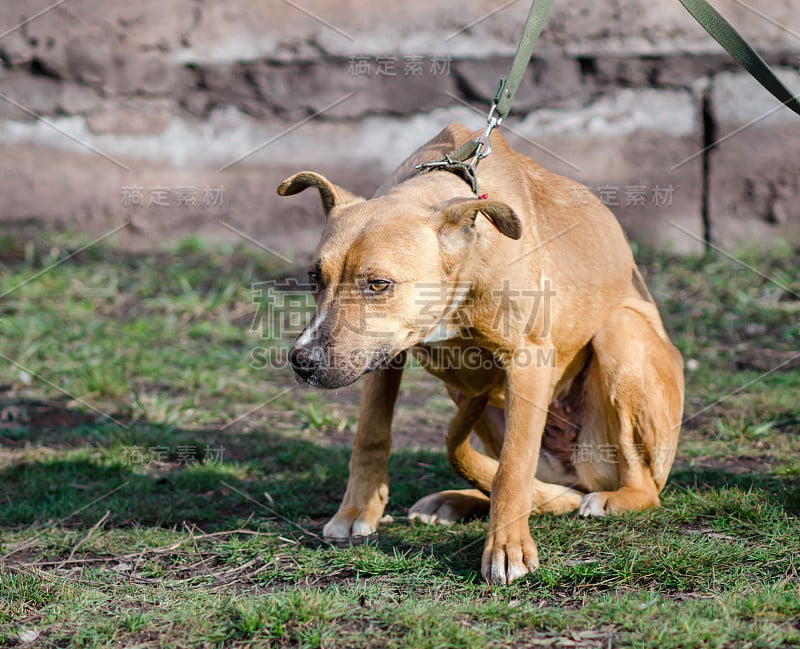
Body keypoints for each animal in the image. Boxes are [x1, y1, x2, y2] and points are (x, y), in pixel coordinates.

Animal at [278, 121, 684, 584]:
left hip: (619, 336)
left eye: (378, 284)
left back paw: (615, 499)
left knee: (637, 486)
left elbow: (513, 468)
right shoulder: (382, 354)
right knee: (543, 493)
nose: (302, 361)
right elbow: (371, 435)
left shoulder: (528, 361)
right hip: (472, 398)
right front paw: (356, 512)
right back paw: (456, 500)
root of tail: (582, 476)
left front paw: (507, 549)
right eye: (314, 277)